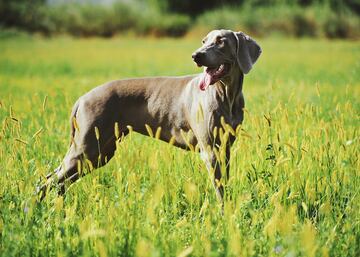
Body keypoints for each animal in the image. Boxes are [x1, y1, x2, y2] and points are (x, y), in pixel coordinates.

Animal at [38, 29, 260, 203]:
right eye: (204, 41)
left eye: (221, 41)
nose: (196, 55)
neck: (226, 94)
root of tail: (81, 98)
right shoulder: (209, 150)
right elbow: (219, 189)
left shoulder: (225, 149)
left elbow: (225, 183)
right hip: (87, 148)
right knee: (48, 180)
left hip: (100, 153)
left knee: (58, 181)